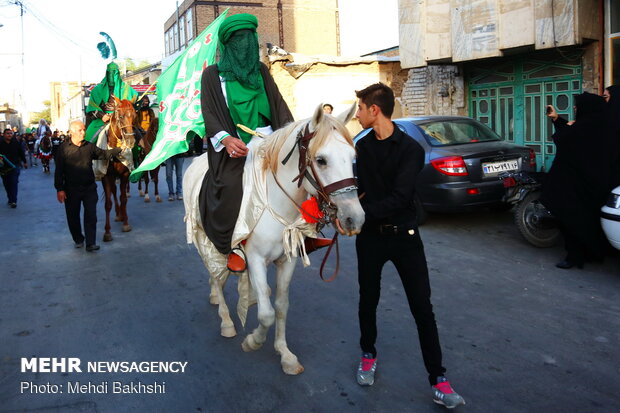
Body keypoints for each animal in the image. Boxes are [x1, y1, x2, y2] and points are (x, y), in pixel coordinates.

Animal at [99, 96, 137, 241]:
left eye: (134, 116)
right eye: (120, 116)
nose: (131, 141)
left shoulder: (124, 174)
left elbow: (123, 198)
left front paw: (125, 223)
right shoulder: (105, 176)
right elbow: (108, 203)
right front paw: (107, 232)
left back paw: (120, 214)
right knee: (113, 192)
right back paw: (117, 213)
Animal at [183, 103, 364, 374]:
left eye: (353, 158)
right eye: (321, 160)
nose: (354, 218)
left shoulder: (287, 260)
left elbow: (280, 305)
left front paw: (285, 354)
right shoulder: (255, 258)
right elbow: (266, 314)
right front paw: (253, 341)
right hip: (204, 238)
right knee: (216, 274)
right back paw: (226, 320)